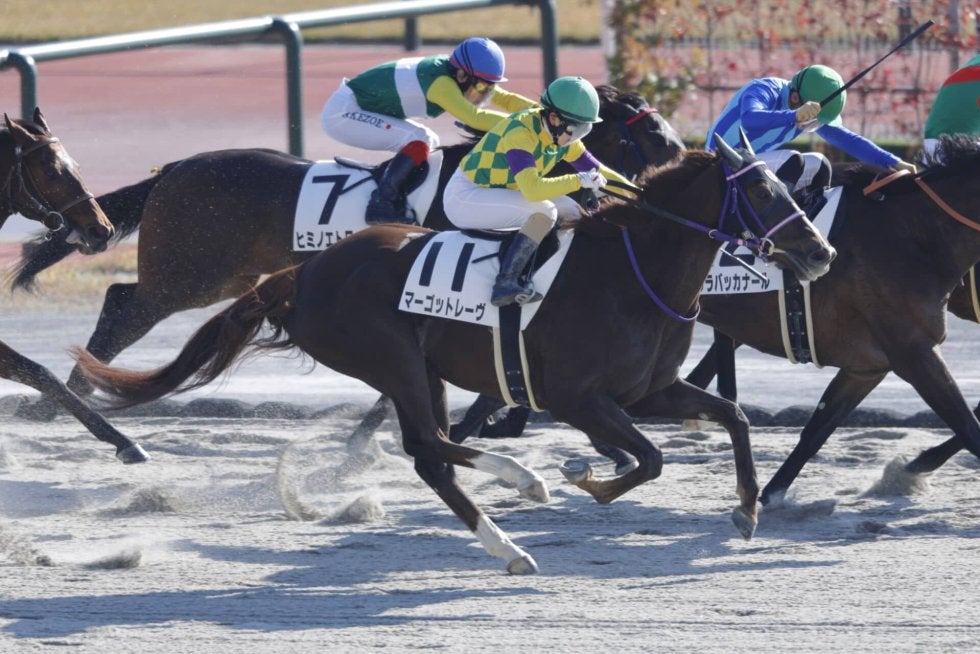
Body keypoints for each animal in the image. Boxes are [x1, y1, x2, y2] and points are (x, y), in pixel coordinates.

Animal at [9, 86, 684, 424]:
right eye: (650, 129)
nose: (683, 150)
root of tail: (174, 169)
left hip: (223, 275)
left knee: (123, 301)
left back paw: (73, 391)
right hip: (187, 275)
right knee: (124, 307)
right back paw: (68, 393)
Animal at [71, 137, 835, 573]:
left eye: (790, 187)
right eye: (761, 189)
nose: (820, 251)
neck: (634, 269)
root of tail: (301, 274)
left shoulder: (648, 390)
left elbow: (733, 416)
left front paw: (747, 511)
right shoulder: (578, 397)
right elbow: (647, 460)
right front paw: (586, 475)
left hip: (421, 367)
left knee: (432, 451)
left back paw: (512, 535)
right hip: (390, 358)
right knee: (428, 447)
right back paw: (524, 489)